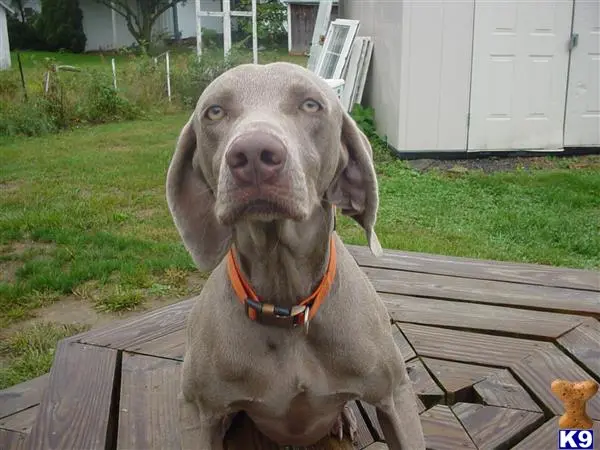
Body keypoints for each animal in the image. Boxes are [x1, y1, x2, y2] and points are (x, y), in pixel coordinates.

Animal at [166, 61, 424, 448]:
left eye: (310, 104)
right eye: (214, 111)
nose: (253, 155)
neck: (285, 302)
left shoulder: (396, 396)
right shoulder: (198, 412)